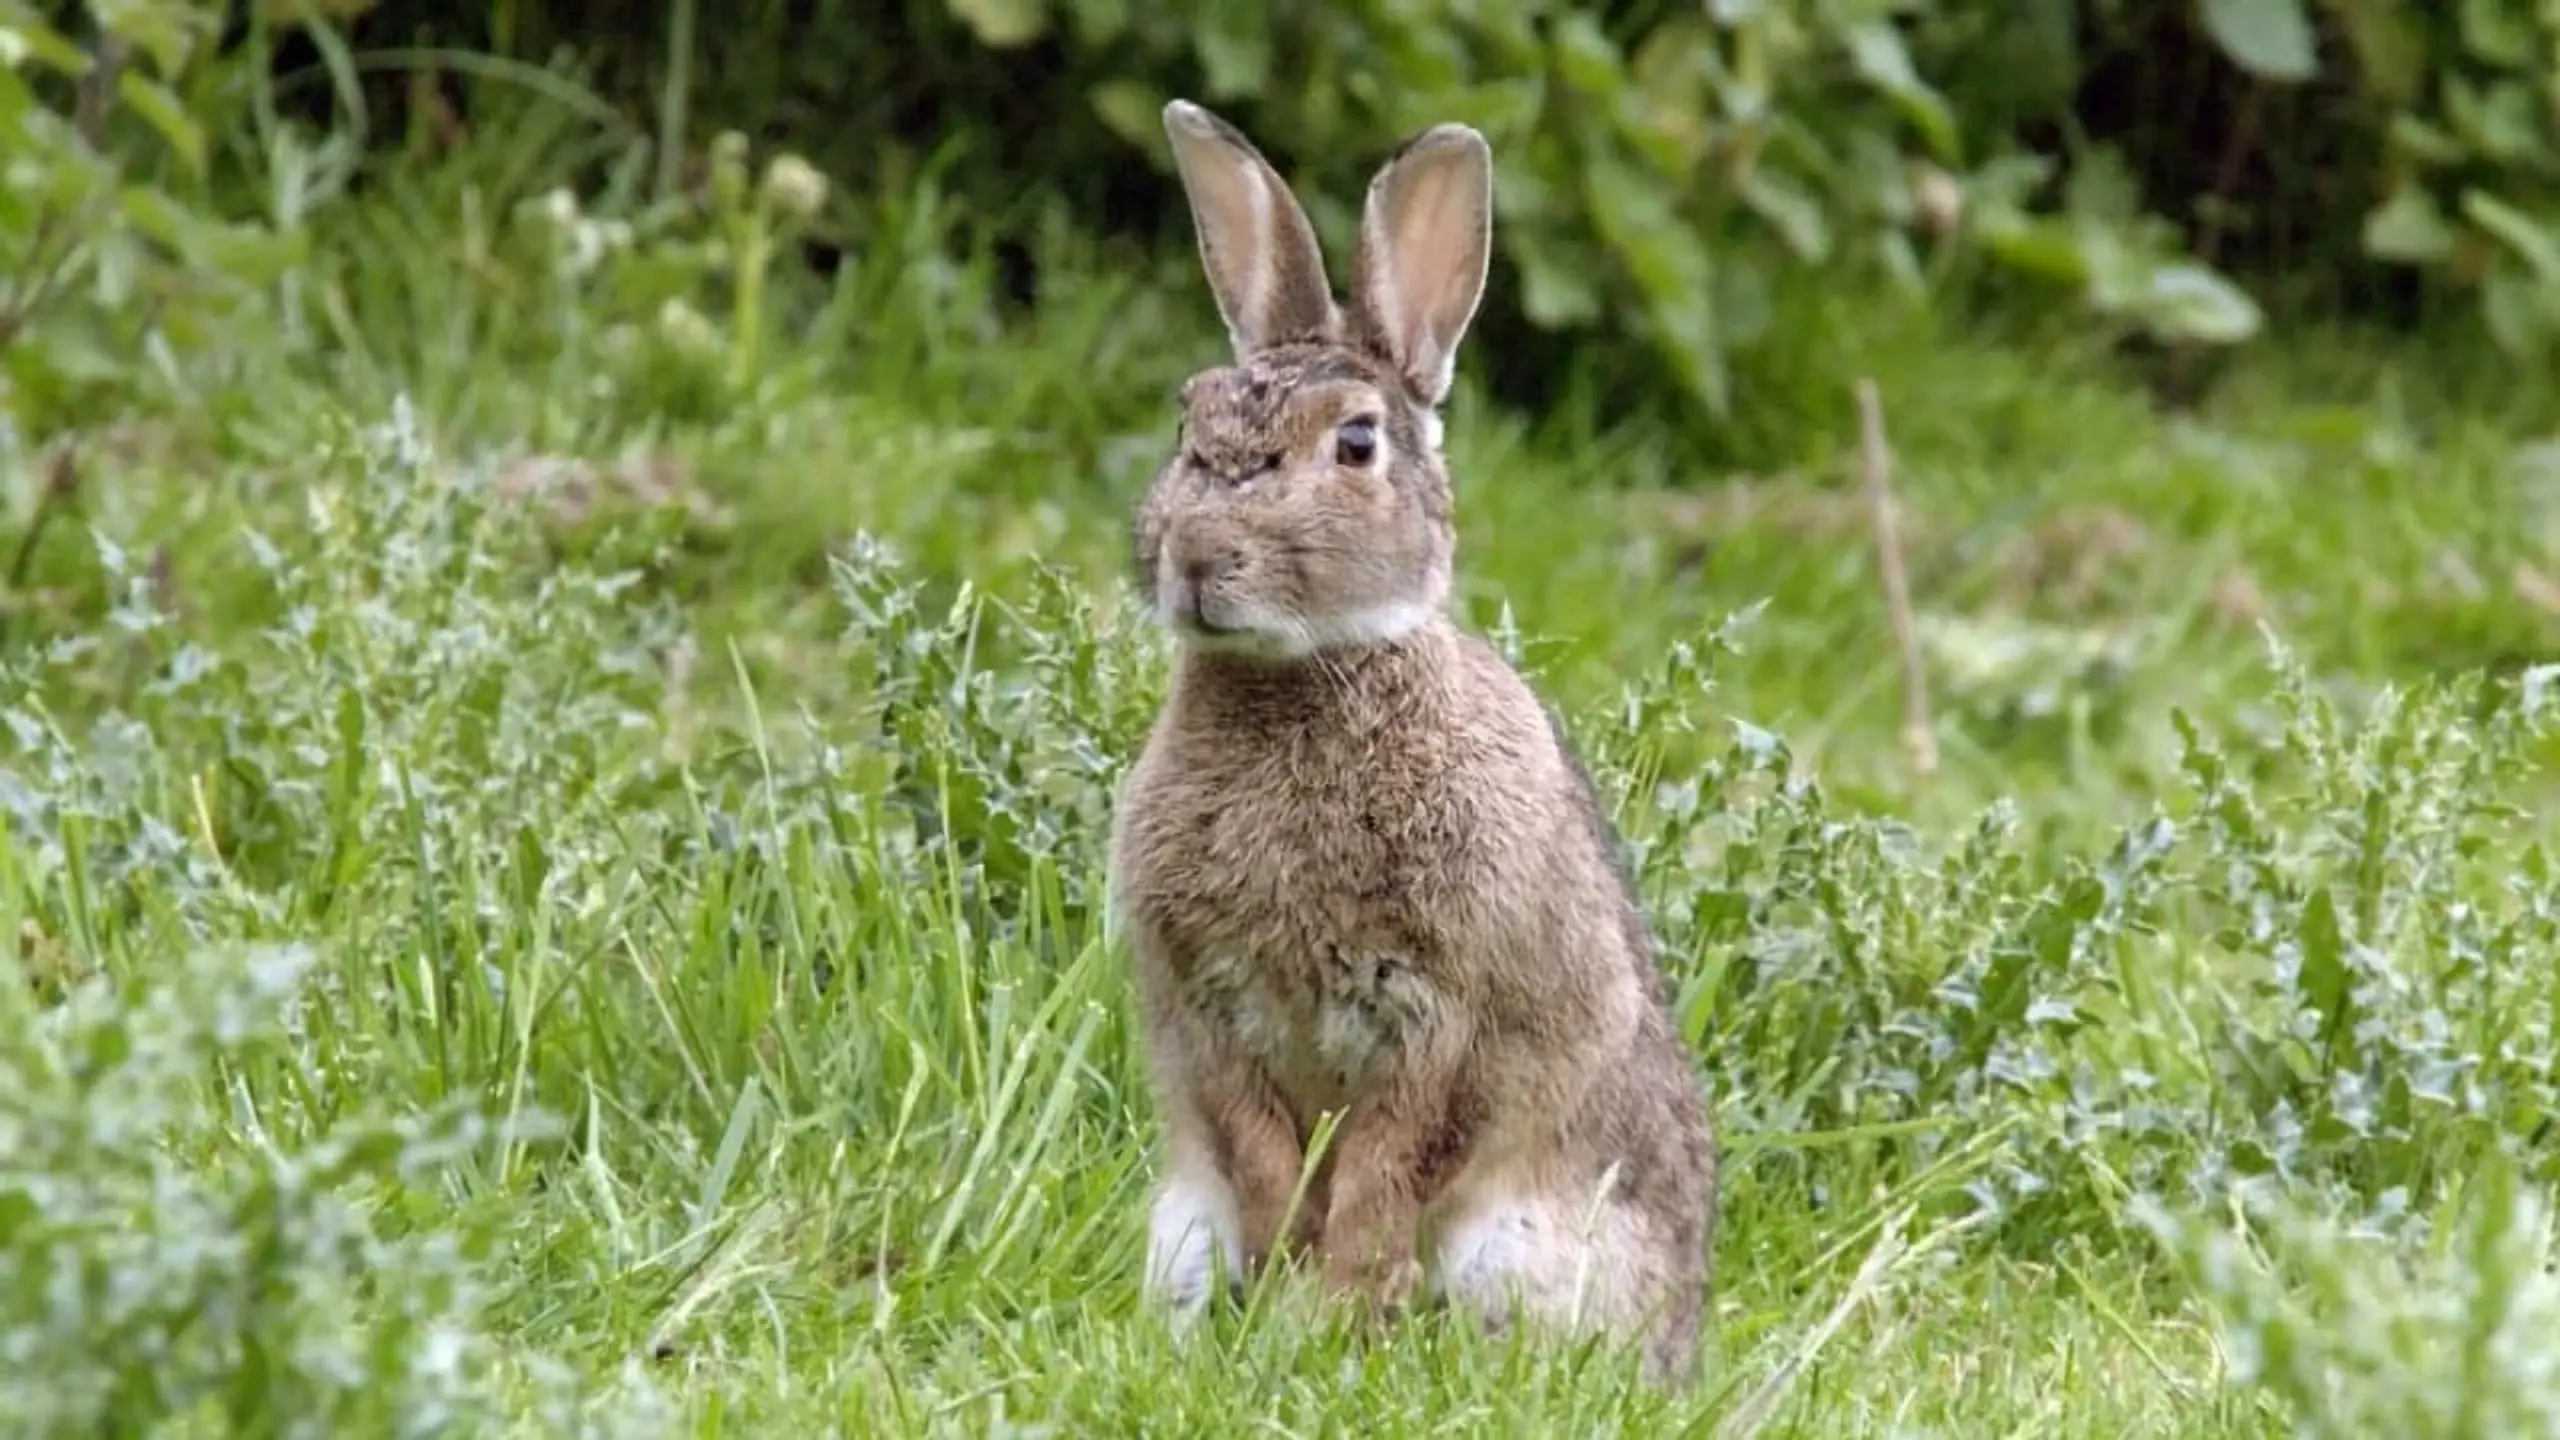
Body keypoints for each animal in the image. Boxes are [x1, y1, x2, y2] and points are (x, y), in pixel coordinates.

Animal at [1105, 98, 1720, 1383]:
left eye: (1355, 444)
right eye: (1188, 420)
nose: (1197, 558)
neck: (1308, 675)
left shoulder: (1442, 1014)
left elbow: (1389, 1168)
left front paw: (1329, 1311)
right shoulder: (1211, 1008)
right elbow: (1265, 1156)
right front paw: (1288, 1295)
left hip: (1517, 1246)